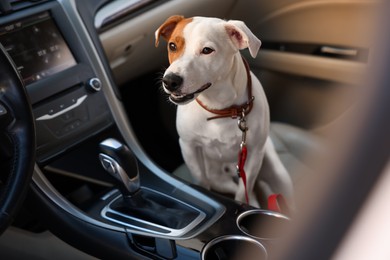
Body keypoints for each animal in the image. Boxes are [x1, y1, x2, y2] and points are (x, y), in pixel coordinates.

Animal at [155, 15, 292, 208]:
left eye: (207, 50)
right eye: (172, 46)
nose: (170, 81)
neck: (220, 108)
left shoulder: (254, 154)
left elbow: (243, 192)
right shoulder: (189, 146)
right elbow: (201, 180)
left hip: (278, 173)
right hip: (218, 178)